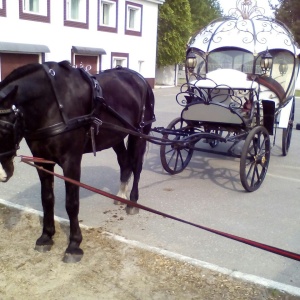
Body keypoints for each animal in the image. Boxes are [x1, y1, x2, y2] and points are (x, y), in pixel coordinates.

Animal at [0, 61, 155, 262]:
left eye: (4, 130)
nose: (2, 174)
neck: (53, 104)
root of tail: (139, 78)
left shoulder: (71, 161)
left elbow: (71, 203)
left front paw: (74, 245)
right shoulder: (42, 161)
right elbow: (47, 199)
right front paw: (46, 236)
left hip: (140, 132)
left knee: (136, 166)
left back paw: (132, 201)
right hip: (115, 136)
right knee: (124, 162)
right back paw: (121, 195)